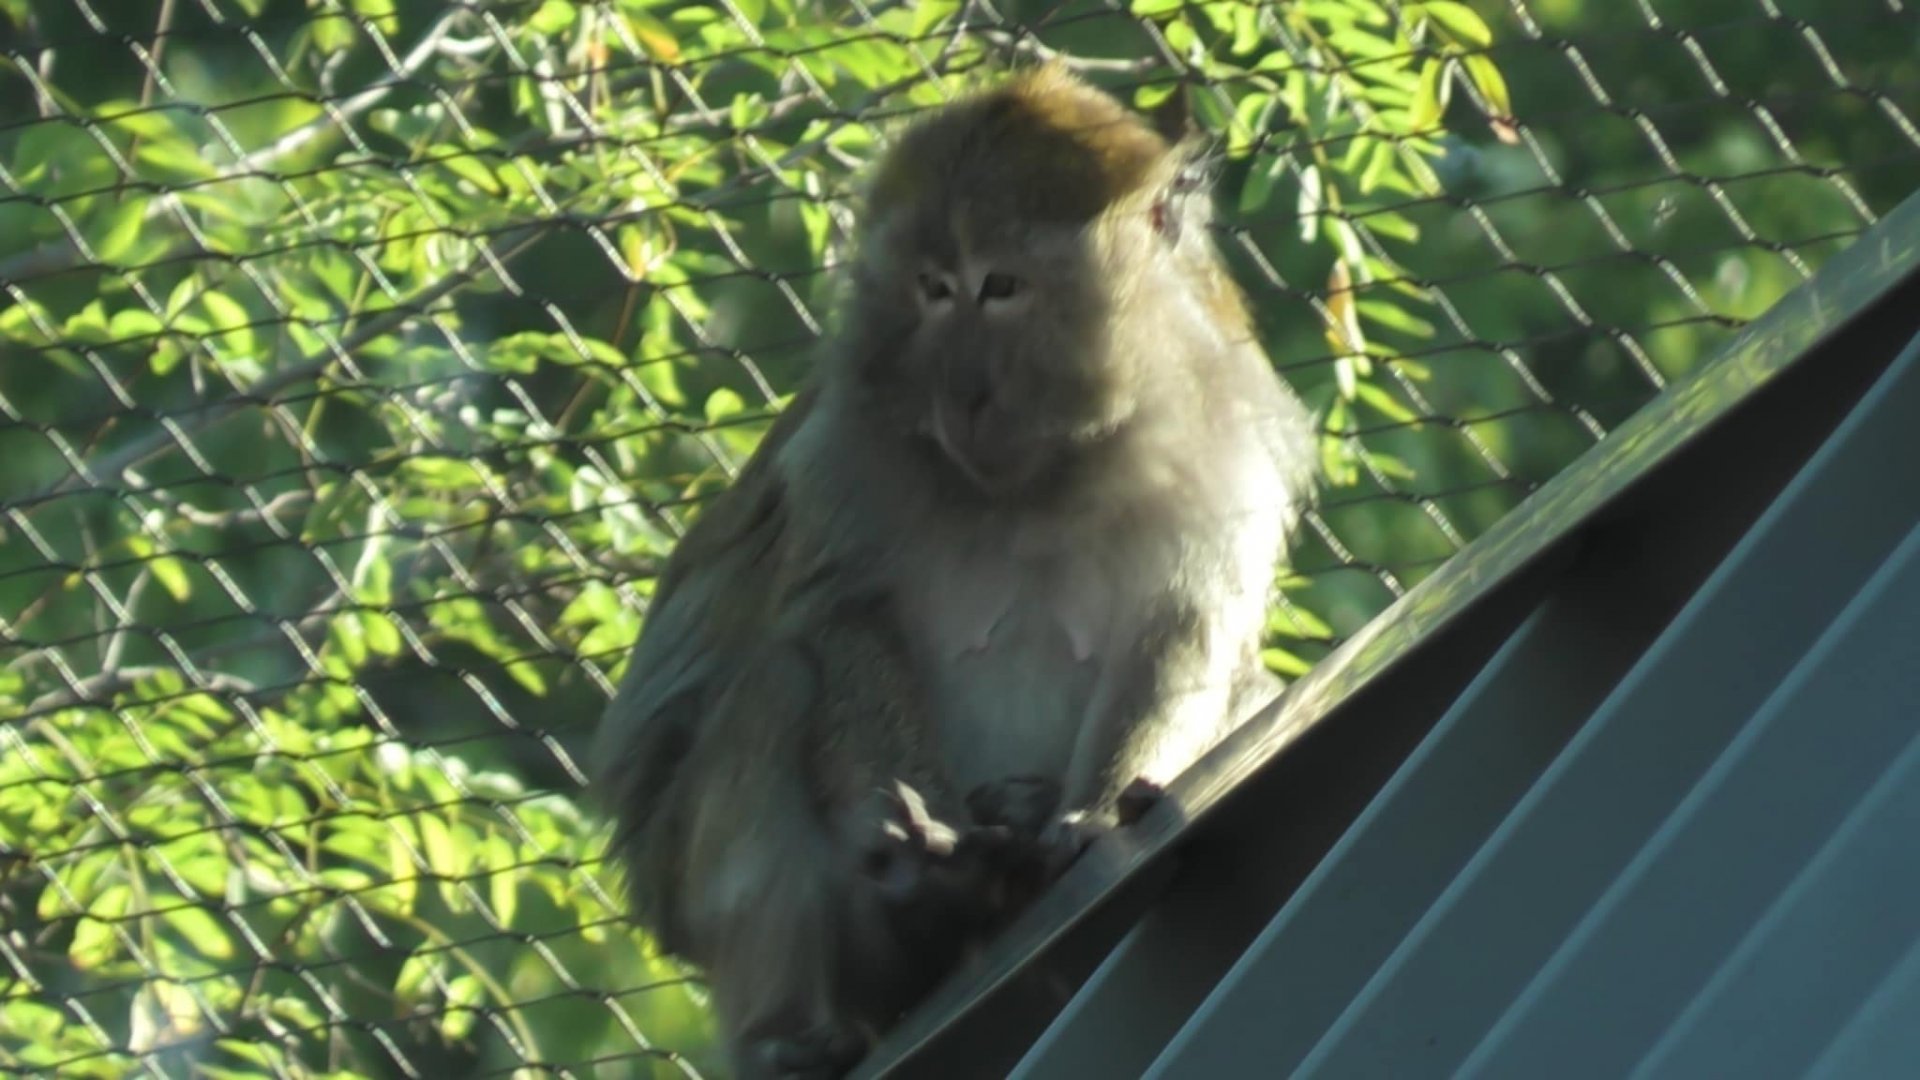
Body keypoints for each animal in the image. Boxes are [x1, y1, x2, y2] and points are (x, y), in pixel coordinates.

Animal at [592, 65, 1318, 1077]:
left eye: (1000, 286)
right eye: (934, 290)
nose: (963, 390)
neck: (1052, 476)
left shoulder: (1227, 440)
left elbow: (1187, 636)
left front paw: (1095, 814)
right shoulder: (849, 445)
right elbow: (842, 620)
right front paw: (938, 852)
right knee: (778, 683)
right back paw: (834, 990)